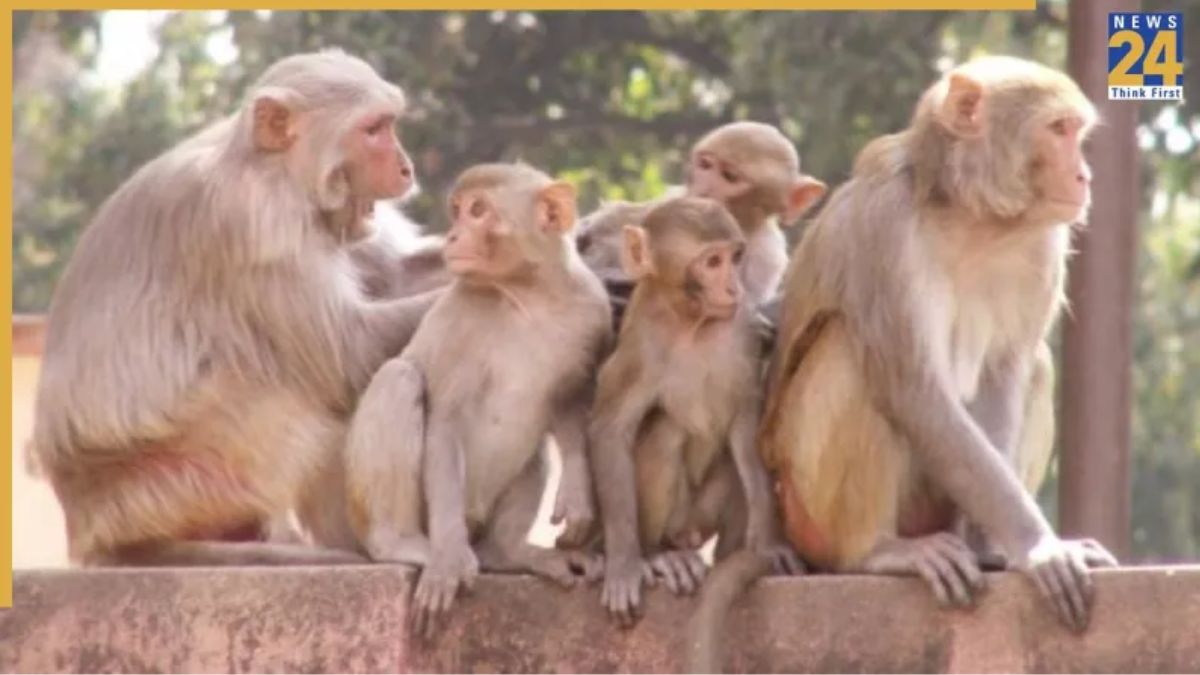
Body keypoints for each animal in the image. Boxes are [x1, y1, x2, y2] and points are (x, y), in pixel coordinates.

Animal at [25, 49, 442, 567]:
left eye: (390, 124)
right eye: (372, 130)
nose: (406, 168)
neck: (271, 168)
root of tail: (87, 529)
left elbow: (395, 278)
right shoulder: (258, 223)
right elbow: (344, 354)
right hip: (179, 479)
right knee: (284, 395)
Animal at [344, 162, 613, 638]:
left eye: (478, 210)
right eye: (458, 211)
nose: (451, 236)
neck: (530, 297)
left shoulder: (592, 311)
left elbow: (567, 404)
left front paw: (579, 490)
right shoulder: (460, 317)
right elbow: (445, 422)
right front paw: (448, 560)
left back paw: (511, 552)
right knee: (399, 379)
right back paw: (404, 542)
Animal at [589, 196, 802, 629]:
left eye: (735, 257)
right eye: (712, 261)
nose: (733, 286)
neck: (693, 324)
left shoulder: (742, 332)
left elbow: (747, 424)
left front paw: (769, 544)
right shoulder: (640, 345)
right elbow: (612, 429)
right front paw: (624, 563)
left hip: (703, 517)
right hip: (676, 519)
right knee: (665, 433)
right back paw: (659, 555)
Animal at [758, 56, 1118, 634]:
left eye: (1075, 133)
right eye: (1058, 129)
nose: (1084, 176)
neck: (974, 216)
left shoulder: (1044, 241)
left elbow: (1006, 372)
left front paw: (1005, 546)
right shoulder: (884, 224)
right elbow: (915, 392)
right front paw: (1037, 545)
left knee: (1037, 365)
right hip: (804, 510)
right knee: (850, 354)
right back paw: (876, 550)